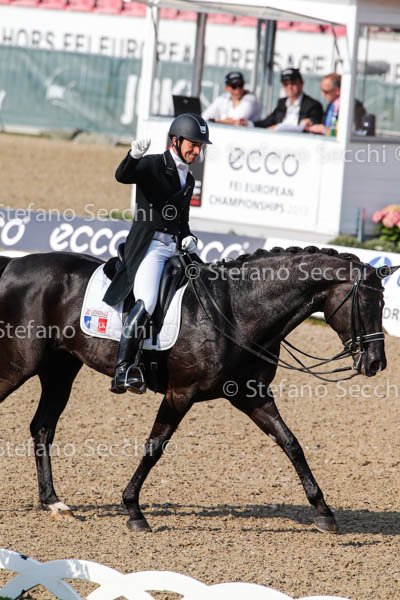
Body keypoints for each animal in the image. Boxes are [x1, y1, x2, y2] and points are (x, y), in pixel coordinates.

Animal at [0, 246, 395, 534]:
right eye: (365, 304)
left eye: (384, 305)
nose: (376, 363)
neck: (235, 311)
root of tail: (13, 264)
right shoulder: (180, 394)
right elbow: (154, 447)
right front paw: (134, 510)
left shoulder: (251, 395)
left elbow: (291, 443)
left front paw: (324, 512)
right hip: (21, 365)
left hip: (60, 369)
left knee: (43, 427)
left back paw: (54, 502)